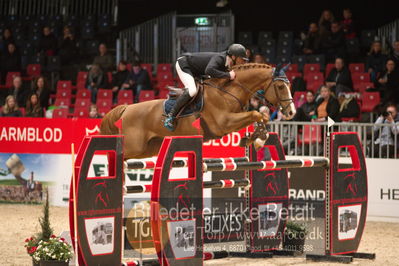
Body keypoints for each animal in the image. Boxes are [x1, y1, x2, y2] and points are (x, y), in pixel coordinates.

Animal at [101, 63, 296, 159]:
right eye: (280, 86)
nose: (292, 113)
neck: (230, 90)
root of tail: (126, 108)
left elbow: (261, 116)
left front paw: (255, 139)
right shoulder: (223, 122)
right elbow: (257, 114)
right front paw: (257, 140)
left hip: (148, 148)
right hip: (135, 146)